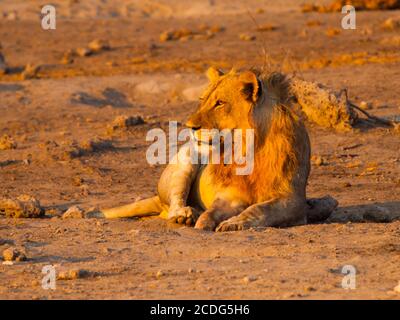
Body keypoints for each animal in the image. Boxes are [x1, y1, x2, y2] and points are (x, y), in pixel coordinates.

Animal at [97, 67, 338, 231]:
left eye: (220, 103)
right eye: (203, 100)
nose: (190, 126)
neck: (249, 148)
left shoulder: (292, 200)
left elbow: (260, 209)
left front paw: (234, 222)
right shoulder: (230, 195)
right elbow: (213, 211)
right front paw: (204, 222)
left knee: (329, 201)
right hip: (185, 161)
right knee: (174, 203)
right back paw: (186, 214)